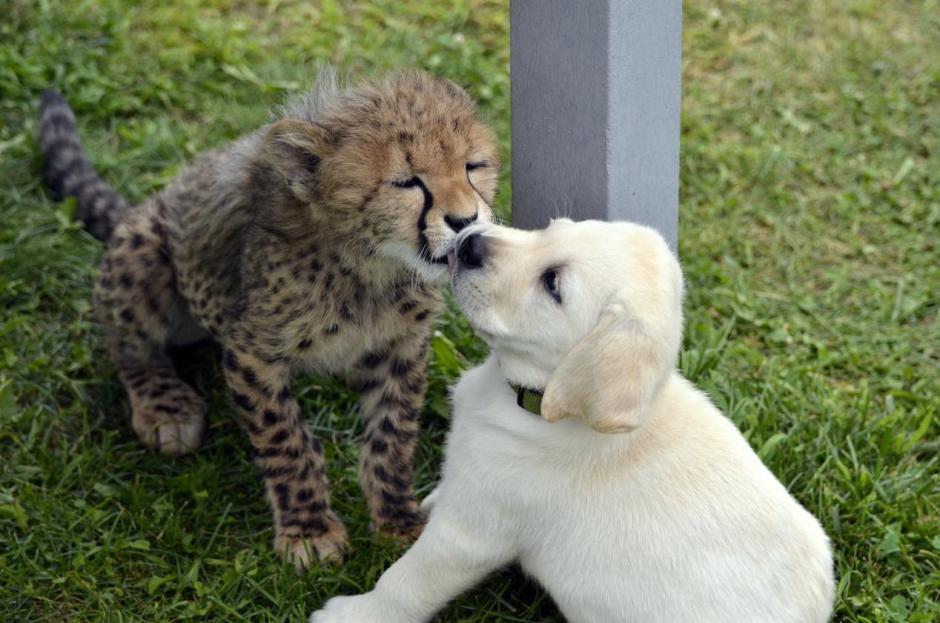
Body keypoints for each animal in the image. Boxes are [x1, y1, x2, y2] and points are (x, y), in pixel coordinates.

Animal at [312, 219, 832, 623]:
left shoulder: (472, 534)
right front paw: (431, 499)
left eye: (553, 286)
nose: (471, 242)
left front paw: (353, 613)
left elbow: (406, 581)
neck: (536, 403)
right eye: (552, 228)